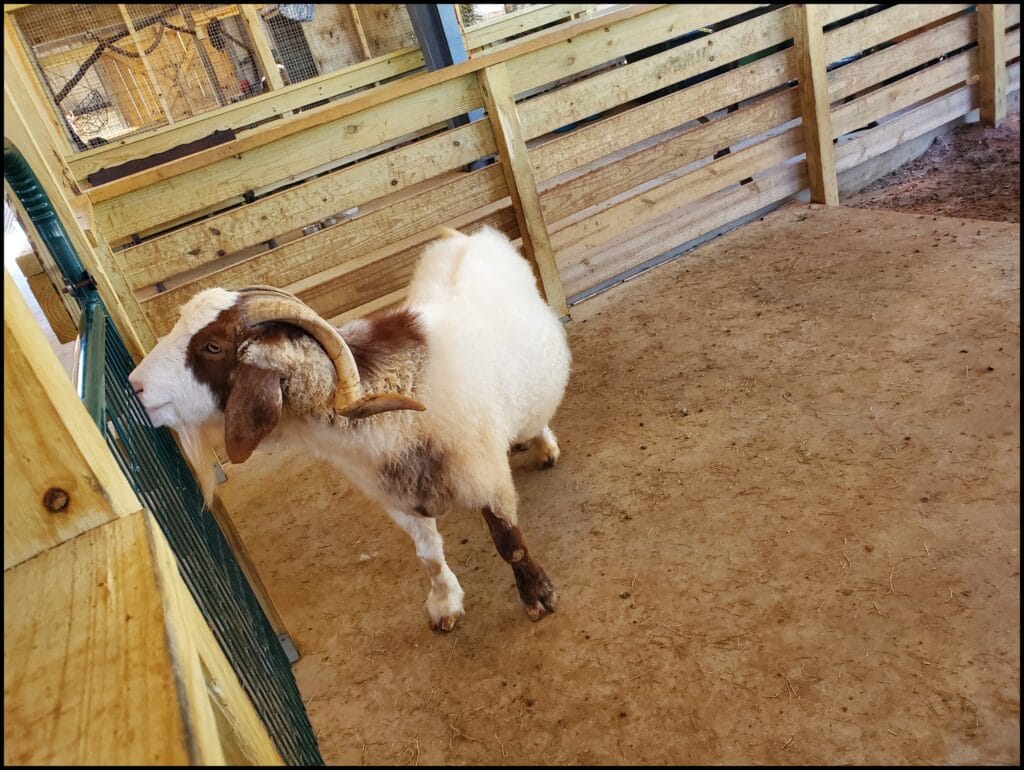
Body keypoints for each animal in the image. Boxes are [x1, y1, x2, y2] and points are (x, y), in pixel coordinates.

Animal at [129, 224, 573, 630]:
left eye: (213, 346)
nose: (135, 385)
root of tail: (470, 235)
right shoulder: (396, 497)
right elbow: (428, 556)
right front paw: (445, 604)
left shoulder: (485, 476)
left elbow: (510, 543)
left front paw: (538, 596)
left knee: (535, 416)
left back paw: (543, 447)